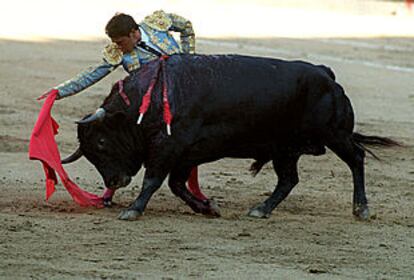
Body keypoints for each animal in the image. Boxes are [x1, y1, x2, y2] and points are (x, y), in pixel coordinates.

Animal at [63, 54, 396, 221]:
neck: (149, 99)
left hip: (334, 134)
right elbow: (176, 185)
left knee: (356, 158)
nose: (114, 181)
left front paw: (133, 209)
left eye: (102, 142)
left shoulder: (169, 148)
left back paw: (361, 209)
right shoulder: (186, 154)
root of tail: (325, 73)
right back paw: (261, 209)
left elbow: (154, 180)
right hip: (285, 149)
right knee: (288, 179)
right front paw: (207, 208)